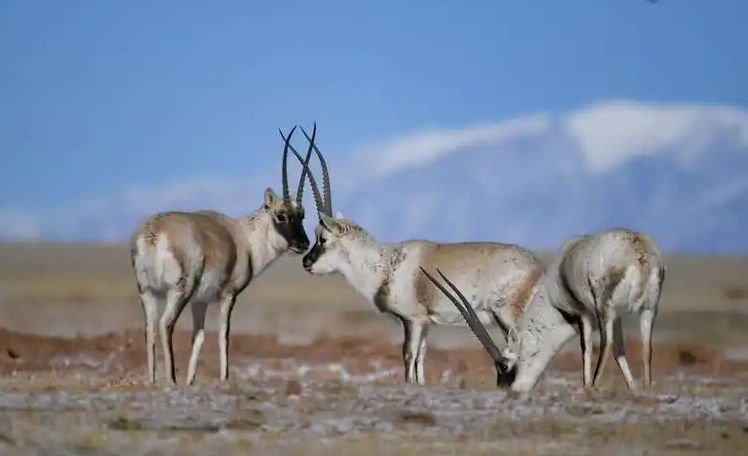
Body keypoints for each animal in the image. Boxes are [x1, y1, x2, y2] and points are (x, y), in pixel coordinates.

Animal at [129, 125, 319, 385]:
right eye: (281, 215)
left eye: (302, 215)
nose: (303, 244)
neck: (244, 237)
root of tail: (153, 232)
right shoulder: (228, 296)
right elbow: (223, 335)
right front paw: (224, 378)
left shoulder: (199, 301)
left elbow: (198, 337)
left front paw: (191, 381)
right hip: (178, 293)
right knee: (165, 324)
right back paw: (171, 381)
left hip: (148, 292)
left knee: (149, 329)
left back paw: (153, 381)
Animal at [293, 128, 547, 386]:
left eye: (323, 238)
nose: (306, 262)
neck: (386, 263)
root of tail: (538, 266)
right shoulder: (425, 323)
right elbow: (422, 357)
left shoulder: (412, 320)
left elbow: (408, 355)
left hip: (508, 317)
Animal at [420, 227, 666, 392]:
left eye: (506, 367)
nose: (506, 390)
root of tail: (639, 250)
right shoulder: (617, 319)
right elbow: (620, 350)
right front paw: (632, 388)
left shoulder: (583, 314)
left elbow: (586, 348)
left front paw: (587, 386)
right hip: (647, 308)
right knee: (646, 347)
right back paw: (647, 387)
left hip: (605, 308)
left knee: (604, 346)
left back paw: (595, 385)